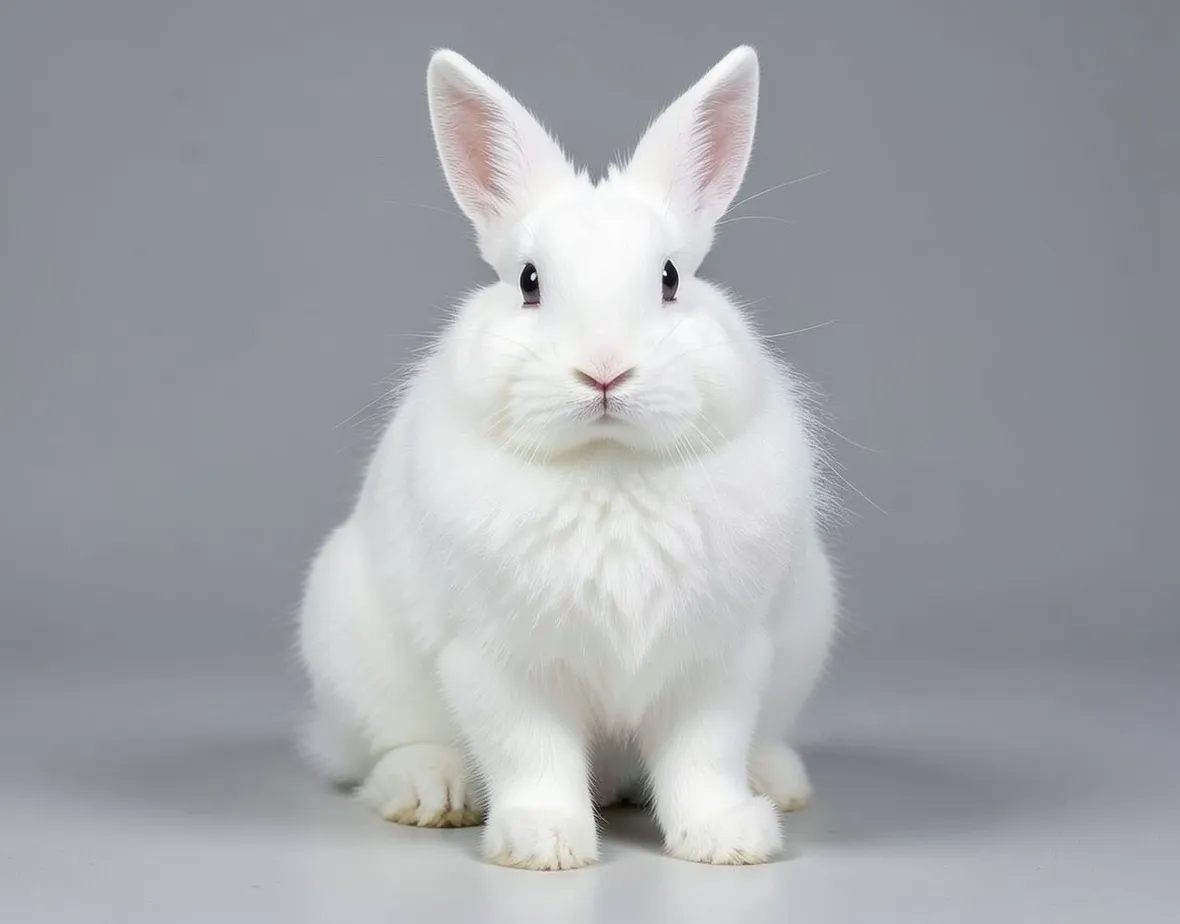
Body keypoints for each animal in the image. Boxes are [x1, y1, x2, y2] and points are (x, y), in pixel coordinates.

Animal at [297, 44, 838, 870]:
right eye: (529, 282)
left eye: (670, 278)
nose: (605, 371)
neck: (607, 465)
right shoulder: (499, 661)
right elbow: (532, 752)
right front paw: (545, 845)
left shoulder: (719, 658)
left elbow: (702, 754)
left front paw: (725, 839)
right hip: (352, 645)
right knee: (385, 750)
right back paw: (430, 791)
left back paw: (775, 783)